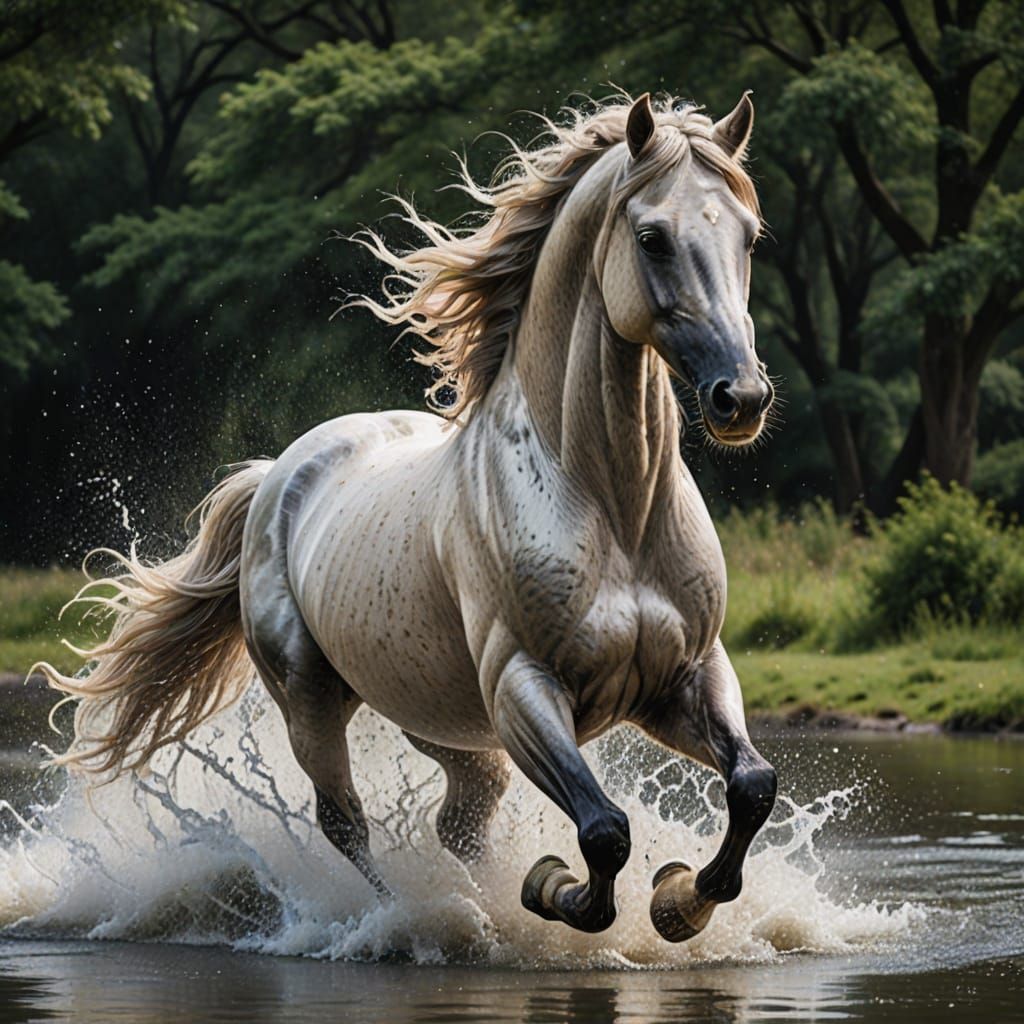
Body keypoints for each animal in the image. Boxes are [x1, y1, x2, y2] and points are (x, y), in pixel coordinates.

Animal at [38, 91, 778, 943]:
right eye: (652, 237)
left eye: (749, 235)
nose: (741, 398)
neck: (610, 508)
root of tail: (276, 477)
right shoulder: (523, 687)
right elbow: (604, 832)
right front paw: (550, 888)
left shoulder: (685, 677)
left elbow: (752, 785)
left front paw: (679, 900)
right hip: (311, 700)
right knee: (346, 823)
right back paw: (410, 917)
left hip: (441, 720)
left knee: (460, 822)